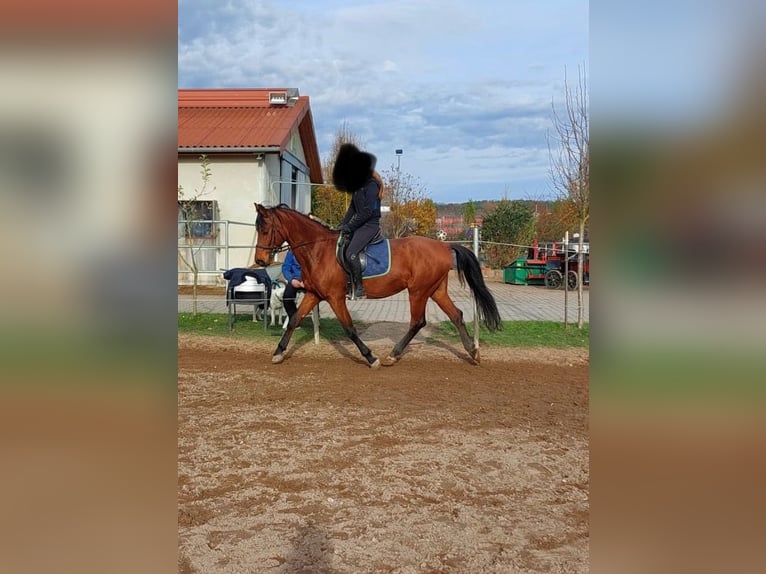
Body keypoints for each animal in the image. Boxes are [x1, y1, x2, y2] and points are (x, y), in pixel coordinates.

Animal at [254, 205, 504, 372]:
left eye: (265, 229)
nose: (260, 260)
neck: (318, 249)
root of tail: (443, 246)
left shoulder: (335, 297)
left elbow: (349, 328)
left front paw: (370, 358)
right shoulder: (314, 294)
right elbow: (294, 320)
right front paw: (278, 353)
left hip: (418, 291)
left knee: (418, 322)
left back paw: (392, 356)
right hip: (436, 290)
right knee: (456, 315)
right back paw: (473, 352)